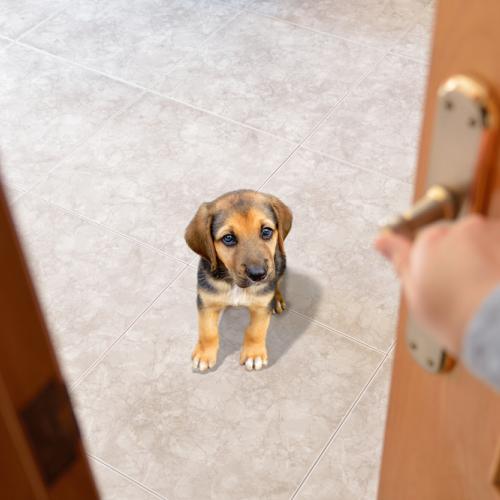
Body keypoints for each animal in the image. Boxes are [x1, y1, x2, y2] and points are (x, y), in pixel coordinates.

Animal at [186, 189, 292, 374]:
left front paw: (254, 355)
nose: (259, 275)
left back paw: (277, 299)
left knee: (278, 280)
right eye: (228, 238)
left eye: (266, 232)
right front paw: (204, 354)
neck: (234, 283)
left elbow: (256, 331)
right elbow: (207, 331)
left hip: (281, 261)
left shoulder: (261, 306)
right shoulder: (206, 302)